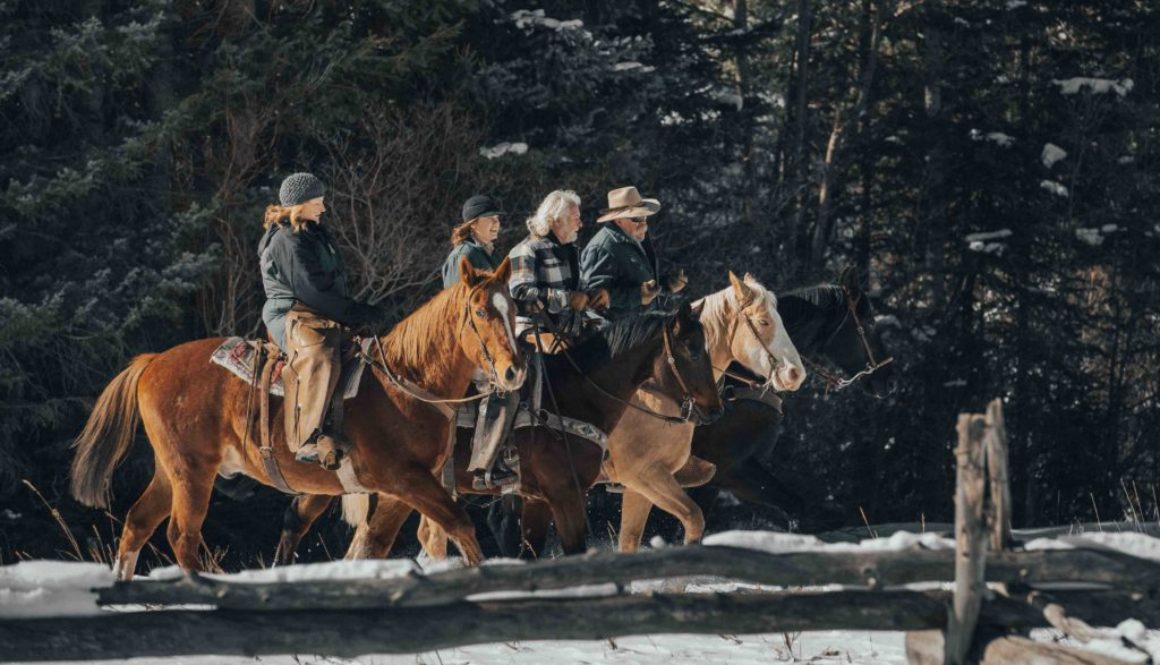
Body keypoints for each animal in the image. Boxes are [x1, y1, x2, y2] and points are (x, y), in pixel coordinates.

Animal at [72, 256, 526, 577]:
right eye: (481, 312)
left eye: (511, 309)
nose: (513, 371)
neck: (406, 382)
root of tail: (152, 362)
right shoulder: (406, 479)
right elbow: (460, 526)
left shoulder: (403, 490)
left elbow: (372, 545)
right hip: (192, 472)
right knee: (181, 537)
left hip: (170, 471)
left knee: (137, 524)